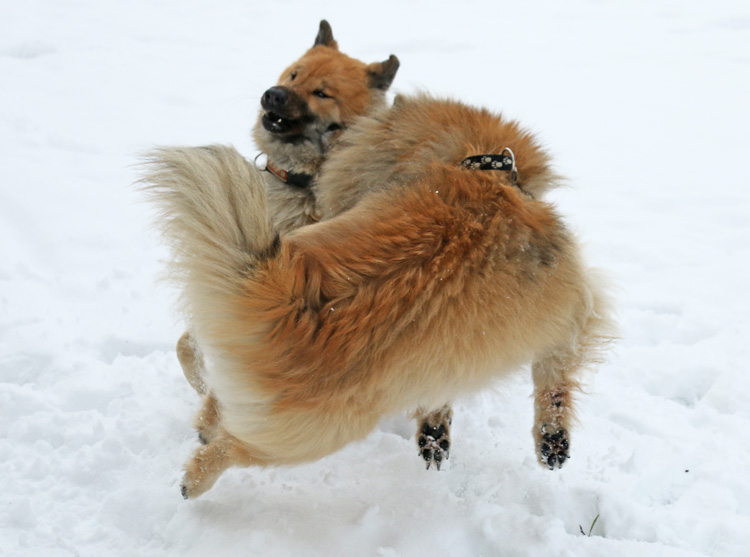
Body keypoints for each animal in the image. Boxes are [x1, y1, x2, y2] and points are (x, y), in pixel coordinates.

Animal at [144, 32, 612, 502]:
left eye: (322, 93)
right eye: (293, 75)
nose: (273, 95)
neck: (486, 170)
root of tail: (297, 306)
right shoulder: (561, 304)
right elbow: (551, 369)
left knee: (227, 426)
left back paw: (197, 464)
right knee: (226, 422)